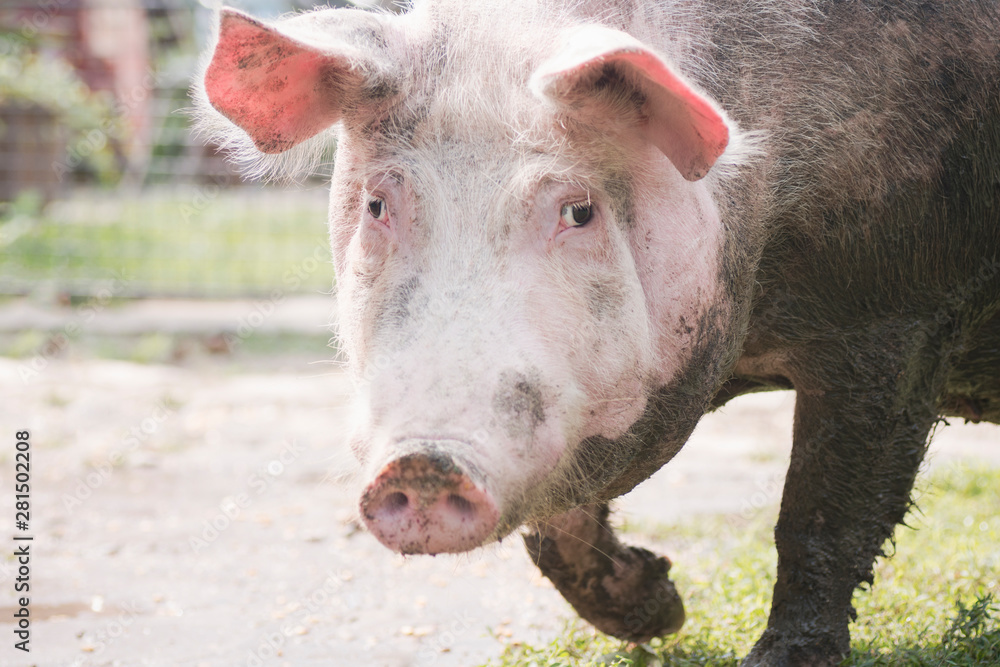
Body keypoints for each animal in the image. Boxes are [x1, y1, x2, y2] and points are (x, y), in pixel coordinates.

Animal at [195, 0, 1000, 664]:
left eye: (577, 211)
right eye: (377, 203)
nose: (425, 462)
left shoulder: (895, 305)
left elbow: (824, 512)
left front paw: (776, 658)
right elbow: (557, 529)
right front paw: (662, 610)